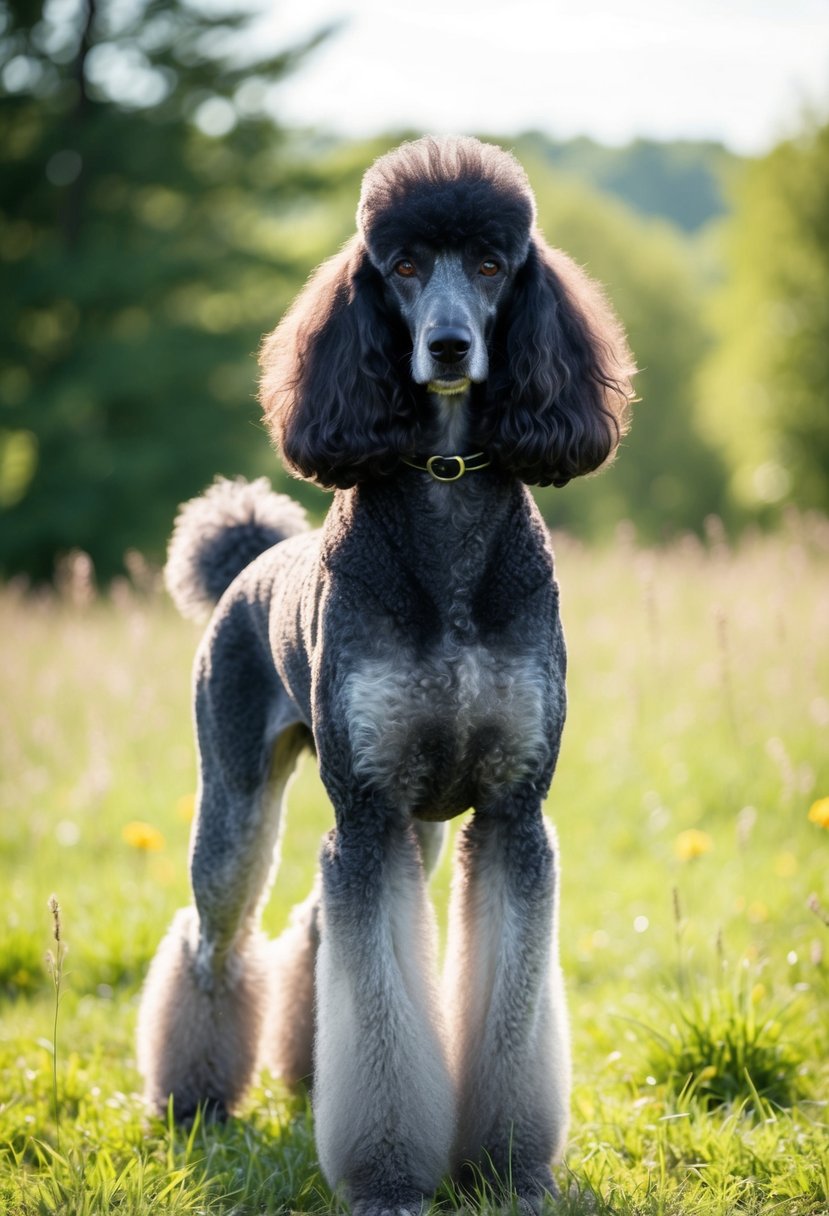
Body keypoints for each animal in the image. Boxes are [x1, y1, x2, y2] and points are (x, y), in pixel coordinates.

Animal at [137, 138, 632, 1211]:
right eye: (401, 266)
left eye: (491, 264)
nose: (446, 347)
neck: (444, 509)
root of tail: (250, 563)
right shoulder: (366, 810)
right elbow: (379, 1011)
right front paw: (389, 1179)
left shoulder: (506, 812)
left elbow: (503, 1010)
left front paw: (506, 1170)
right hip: (243, 802)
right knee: (215, 941)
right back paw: (195, 1100)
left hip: (416, 823)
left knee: (314, 931)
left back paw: (306, 1074)